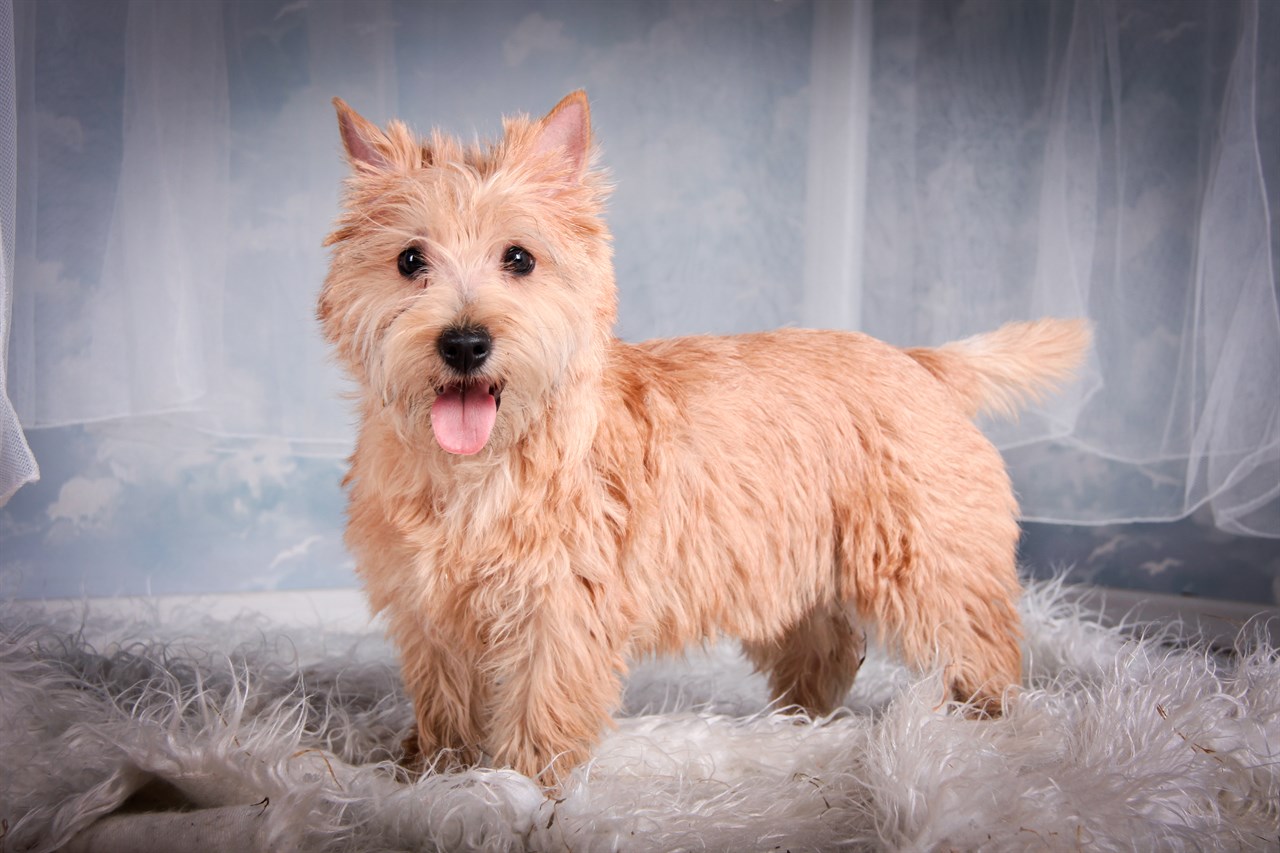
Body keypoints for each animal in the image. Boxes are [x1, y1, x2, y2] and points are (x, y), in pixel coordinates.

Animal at [317, 91, 1090, 783]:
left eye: (520, 258)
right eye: (410, 260)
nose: (466, 342)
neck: (481, 464)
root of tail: (918, 360)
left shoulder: (559, 607)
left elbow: (541, 702)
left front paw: (519, 788)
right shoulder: (429, 609)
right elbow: (444, 697)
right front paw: (434, 770)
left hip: (929, 561)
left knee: (980, 644)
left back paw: (980, 727)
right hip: (793, 566)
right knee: (828, 645)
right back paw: (800, 723)